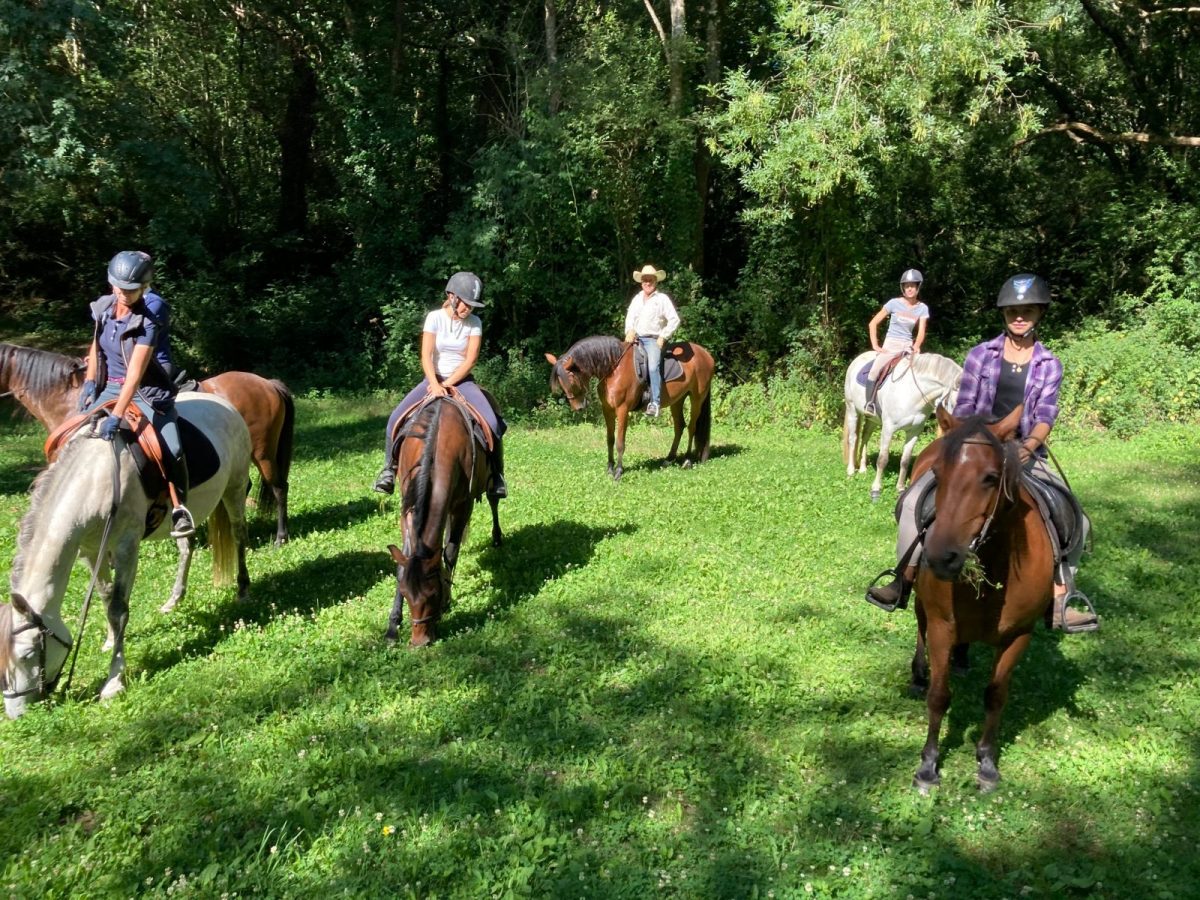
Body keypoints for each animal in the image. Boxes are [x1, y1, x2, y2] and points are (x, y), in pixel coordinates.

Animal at [384, 396, 496, 648]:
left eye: (433, 594)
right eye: (406, 593)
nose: (419, 642)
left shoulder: (464, 504)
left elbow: (450, 552)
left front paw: (447, 599)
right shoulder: (407, 509)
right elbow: (404, 562)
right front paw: (392, 627)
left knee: (494, 499)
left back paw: (498, 537)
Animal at [549, 336, 715, 480]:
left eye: (571, 380)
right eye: (561, 383)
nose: (578, 408)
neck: (614, 369)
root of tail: (706, 354)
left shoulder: (622, 410)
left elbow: (620, 442)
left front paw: (618, 472)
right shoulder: (607, 410)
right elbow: (610, 439)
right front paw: (610, 468)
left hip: (697, 398)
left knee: (692, 427)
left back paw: (687, 460)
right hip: (678, 400)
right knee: (679, 426)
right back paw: (669, 459)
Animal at [844, 352, 964, 504]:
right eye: (955, 403)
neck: (911, 393)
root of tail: (859, 358)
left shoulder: (914, 431)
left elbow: (905, 461)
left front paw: (900, 489)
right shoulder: (888, 428)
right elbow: (882, 459)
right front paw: (876, 490)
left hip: (873, 419)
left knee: (865, 437)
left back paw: (863, 468)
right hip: (852, 409)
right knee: (853, 438)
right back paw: (851, 471)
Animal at [902, 405, 1056, 792]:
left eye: (990, 477)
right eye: (939, 474)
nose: (941, 557)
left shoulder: (1019, 635)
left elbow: (996, 695)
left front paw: (986, 762)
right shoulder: (942, 626)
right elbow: (939, 696)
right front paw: (927, 766)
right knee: (919, 624)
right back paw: (918, 674)